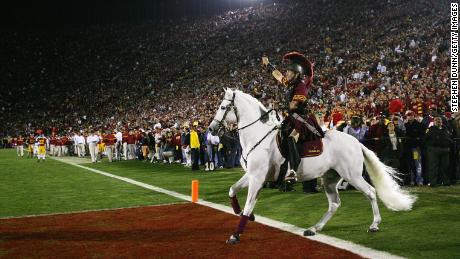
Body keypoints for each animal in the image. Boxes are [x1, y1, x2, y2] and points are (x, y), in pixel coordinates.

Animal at [208, 88, 416, 245]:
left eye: (223, 107)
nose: (211, 129)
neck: (259, 137)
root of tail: (356, 142)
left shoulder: (257, 178)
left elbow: (249, 203)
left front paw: (236, 234)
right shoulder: (252, 175)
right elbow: (232, 190)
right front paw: (243, 214)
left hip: (352, 176)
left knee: (371, 192)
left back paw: (374, 225)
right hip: (329, 179)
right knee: (335, 203)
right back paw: (314, 228)